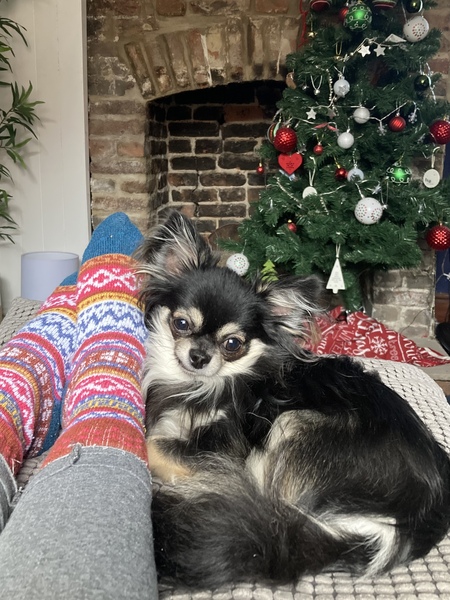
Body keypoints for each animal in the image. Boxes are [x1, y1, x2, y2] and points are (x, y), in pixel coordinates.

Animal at [135, 211, 450, 588]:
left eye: (232, 344)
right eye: (181, 323)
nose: (199, 356)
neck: (197, 383)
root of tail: (402, 528)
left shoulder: (225, 449)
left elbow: (152, 443)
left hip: (291, 425)